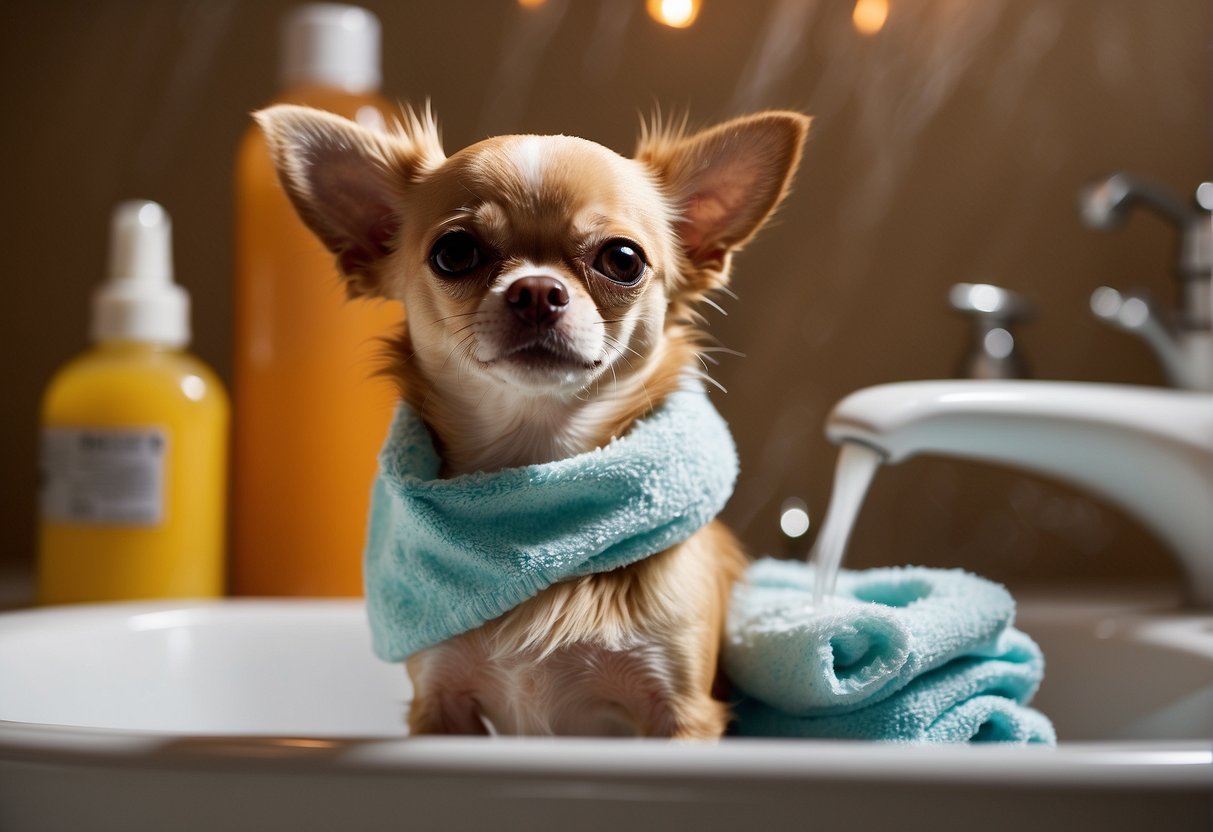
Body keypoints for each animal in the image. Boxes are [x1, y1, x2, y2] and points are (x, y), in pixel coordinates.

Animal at [255, 106, 805, 742]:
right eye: (454, 252)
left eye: (623, 259)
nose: (538, 290)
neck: (537, 461)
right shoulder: (442, 705)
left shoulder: (681, 711)